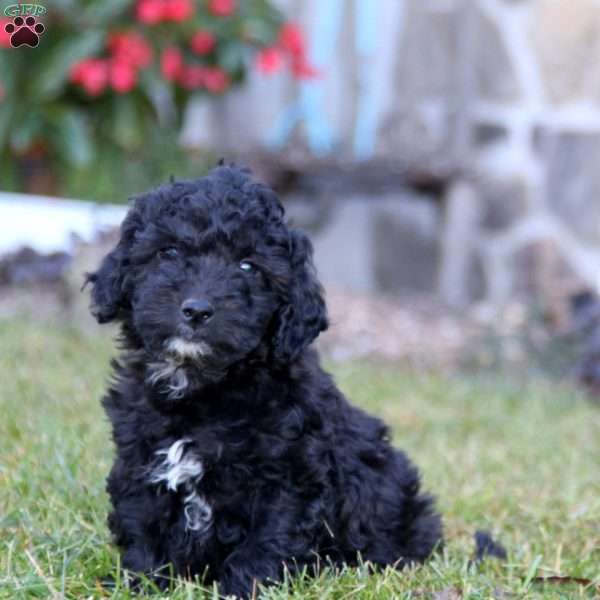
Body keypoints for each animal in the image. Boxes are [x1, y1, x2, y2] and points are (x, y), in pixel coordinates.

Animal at [88, 164, 440, 596]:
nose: (197, 310)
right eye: (167, 252)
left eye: (248, 267)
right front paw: (142, 583)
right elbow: (142, 526)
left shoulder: (288, 479)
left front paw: (241, 590)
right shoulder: (139, 460)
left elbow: (265, 541)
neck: (204, 388)